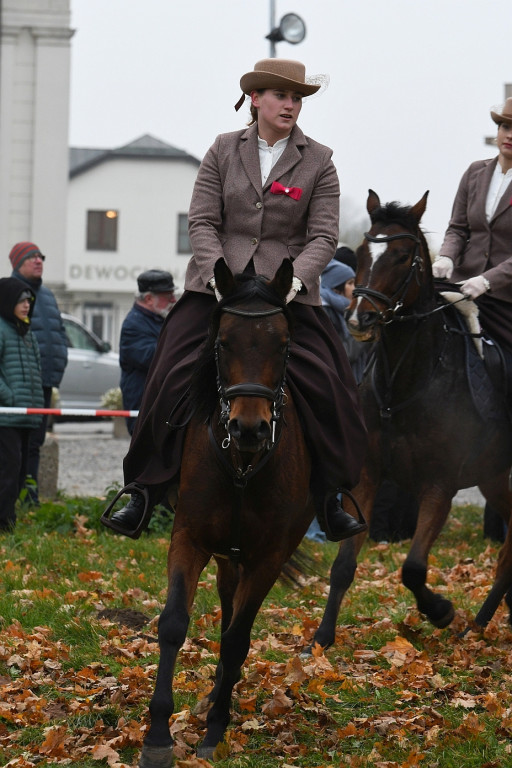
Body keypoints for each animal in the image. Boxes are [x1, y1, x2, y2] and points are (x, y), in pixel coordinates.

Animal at [140, 260, 314, 768]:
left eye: (284, 345)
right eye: (222, 343)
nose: (249, 428)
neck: (241, 463)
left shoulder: (268, 559)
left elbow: (238, 639)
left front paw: (216, 728)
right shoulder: (190, 540)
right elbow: (173, 624)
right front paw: (158, 735)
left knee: (236, 622)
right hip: (224, 556)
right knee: (225, 603)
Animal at [310, 189, 512, 652]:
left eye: (403, 256)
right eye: (363, 250)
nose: (359, 319)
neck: (405, 382)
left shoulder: (439, 485)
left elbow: (414, 568)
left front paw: (440, 611)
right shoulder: (368, 477)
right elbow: (343, 565)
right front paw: (321, 640)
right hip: (495, 477)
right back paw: (478, 626)